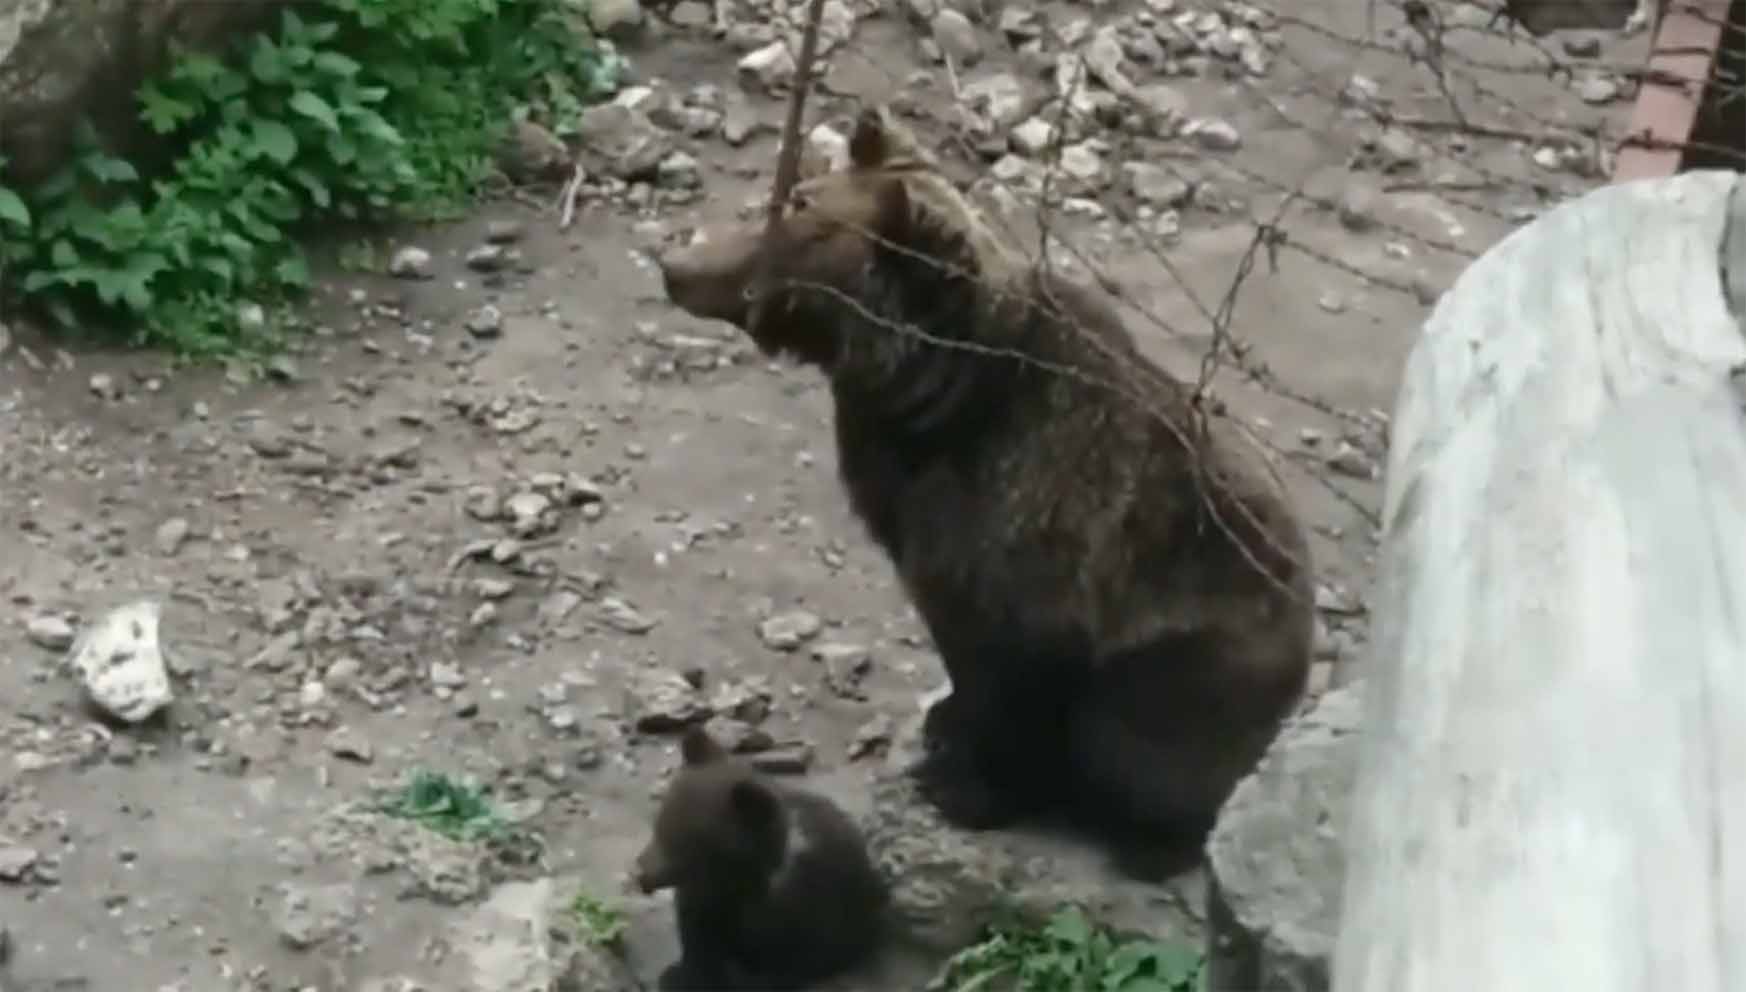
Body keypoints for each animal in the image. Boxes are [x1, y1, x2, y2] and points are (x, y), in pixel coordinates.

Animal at [632, 719, 886, 992]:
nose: (641, 873)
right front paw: (681, 974)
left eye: (685, 844)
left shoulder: (800, 909)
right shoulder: (708, 901)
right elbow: (699, 937)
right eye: (659, 825)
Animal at [656, 106, 1312, 876]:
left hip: (1200, 645)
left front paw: (968, 789)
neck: (926, 394)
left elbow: (1018, 669)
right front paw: (946, 727)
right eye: (790, 197)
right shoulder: (906, 499)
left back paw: (1146, 836)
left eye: (798, 215)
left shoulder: (1038, 535)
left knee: (1136, 739)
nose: (676, 265)